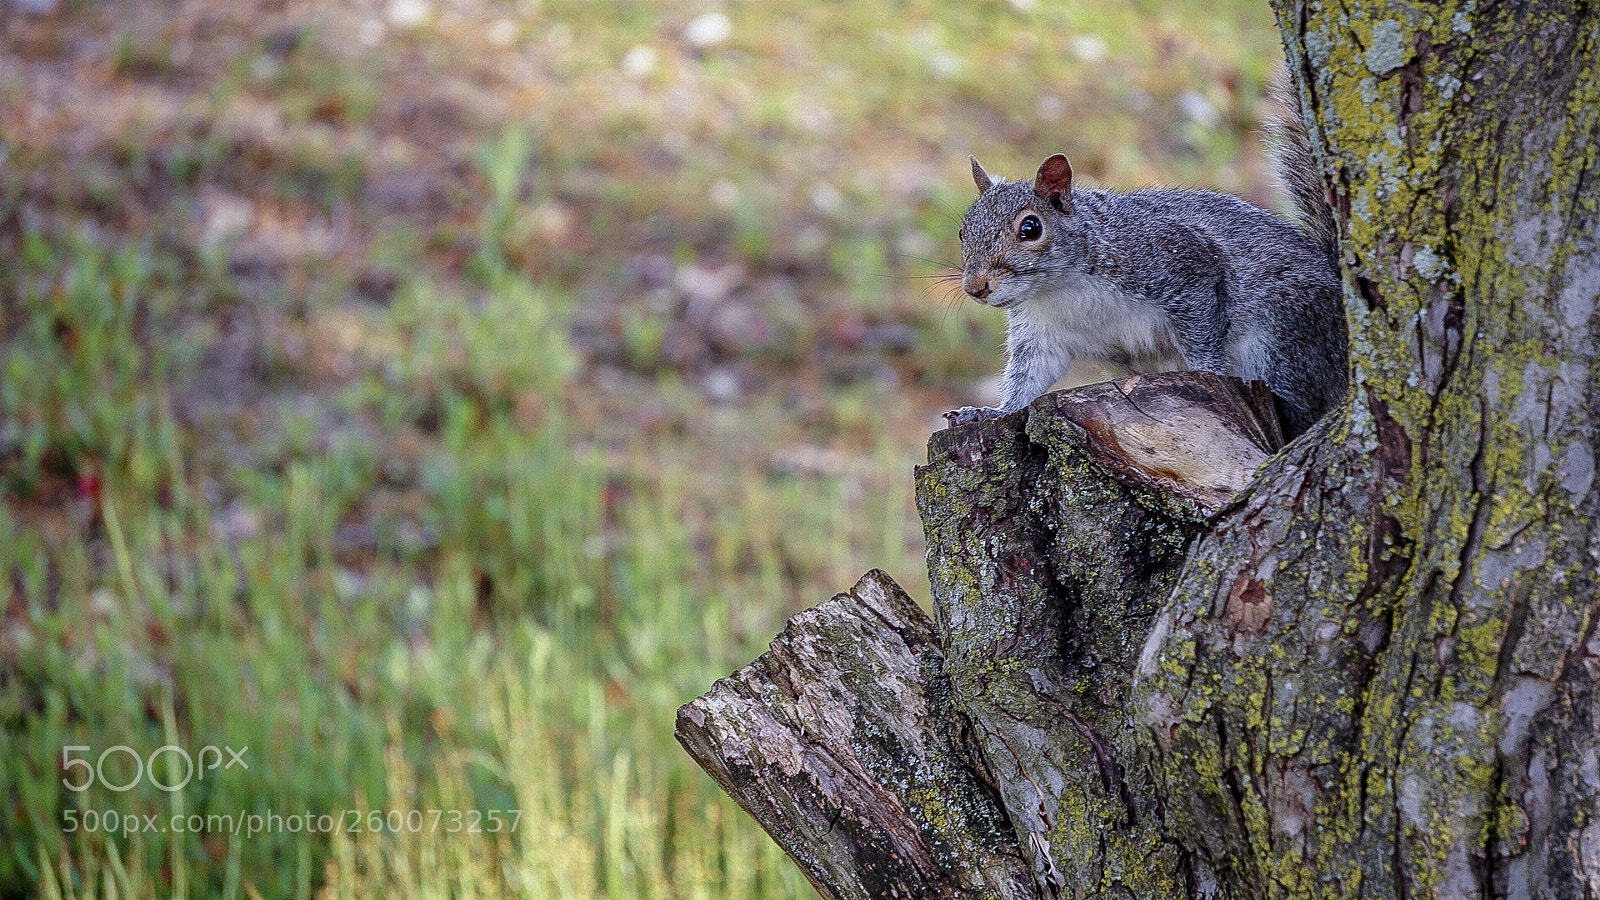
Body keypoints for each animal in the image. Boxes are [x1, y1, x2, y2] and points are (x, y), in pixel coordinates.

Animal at [944, 78, 1348, 439]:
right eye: (963, 231)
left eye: (1030, 228)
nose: (975, 287)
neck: (1059, 290)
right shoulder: (1041, 334)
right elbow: (1029, 378)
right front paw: (991, 412)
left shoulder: (1181, 268)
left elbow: (1203, 336)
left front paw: (1210, 372)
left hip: (1284, 335)